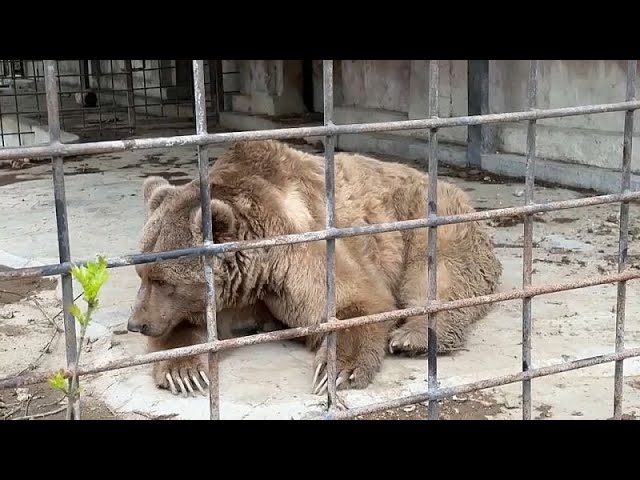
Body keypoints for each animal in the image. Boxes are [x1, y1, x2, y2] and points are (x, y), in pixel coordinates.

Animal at [127, 139, 502, 398]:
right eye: (141, 273)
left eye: (163, 280)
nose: (136, 324)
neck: (259, 269)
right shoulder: (235, 292)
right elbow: (190, 328)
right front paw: (185, 372)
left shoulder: (300, 251)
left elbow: (357, 302)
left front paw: (336, 371)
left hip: (429, 220)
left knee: (438, 275)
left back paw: (412, 337)